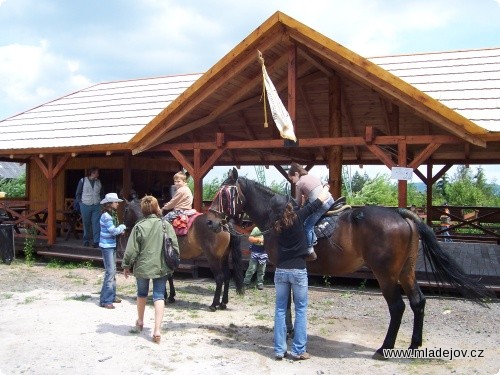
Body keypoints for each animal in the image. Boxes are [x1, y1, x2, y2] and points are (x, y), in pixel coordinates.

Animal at [207, 169, 492, 360]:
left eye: (223, 192)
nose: (210, 222)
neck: (279, 217)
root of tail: (402, 214)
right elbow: (291, 301)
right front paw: (289, 330)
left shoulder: (283, 268)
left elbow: (286, 301)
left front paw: (287, 330)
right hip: (406, 271)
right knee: (418, 302)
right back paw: (413, 345)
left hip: (386, 274)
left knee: (398, 307)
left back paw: (384, 348)